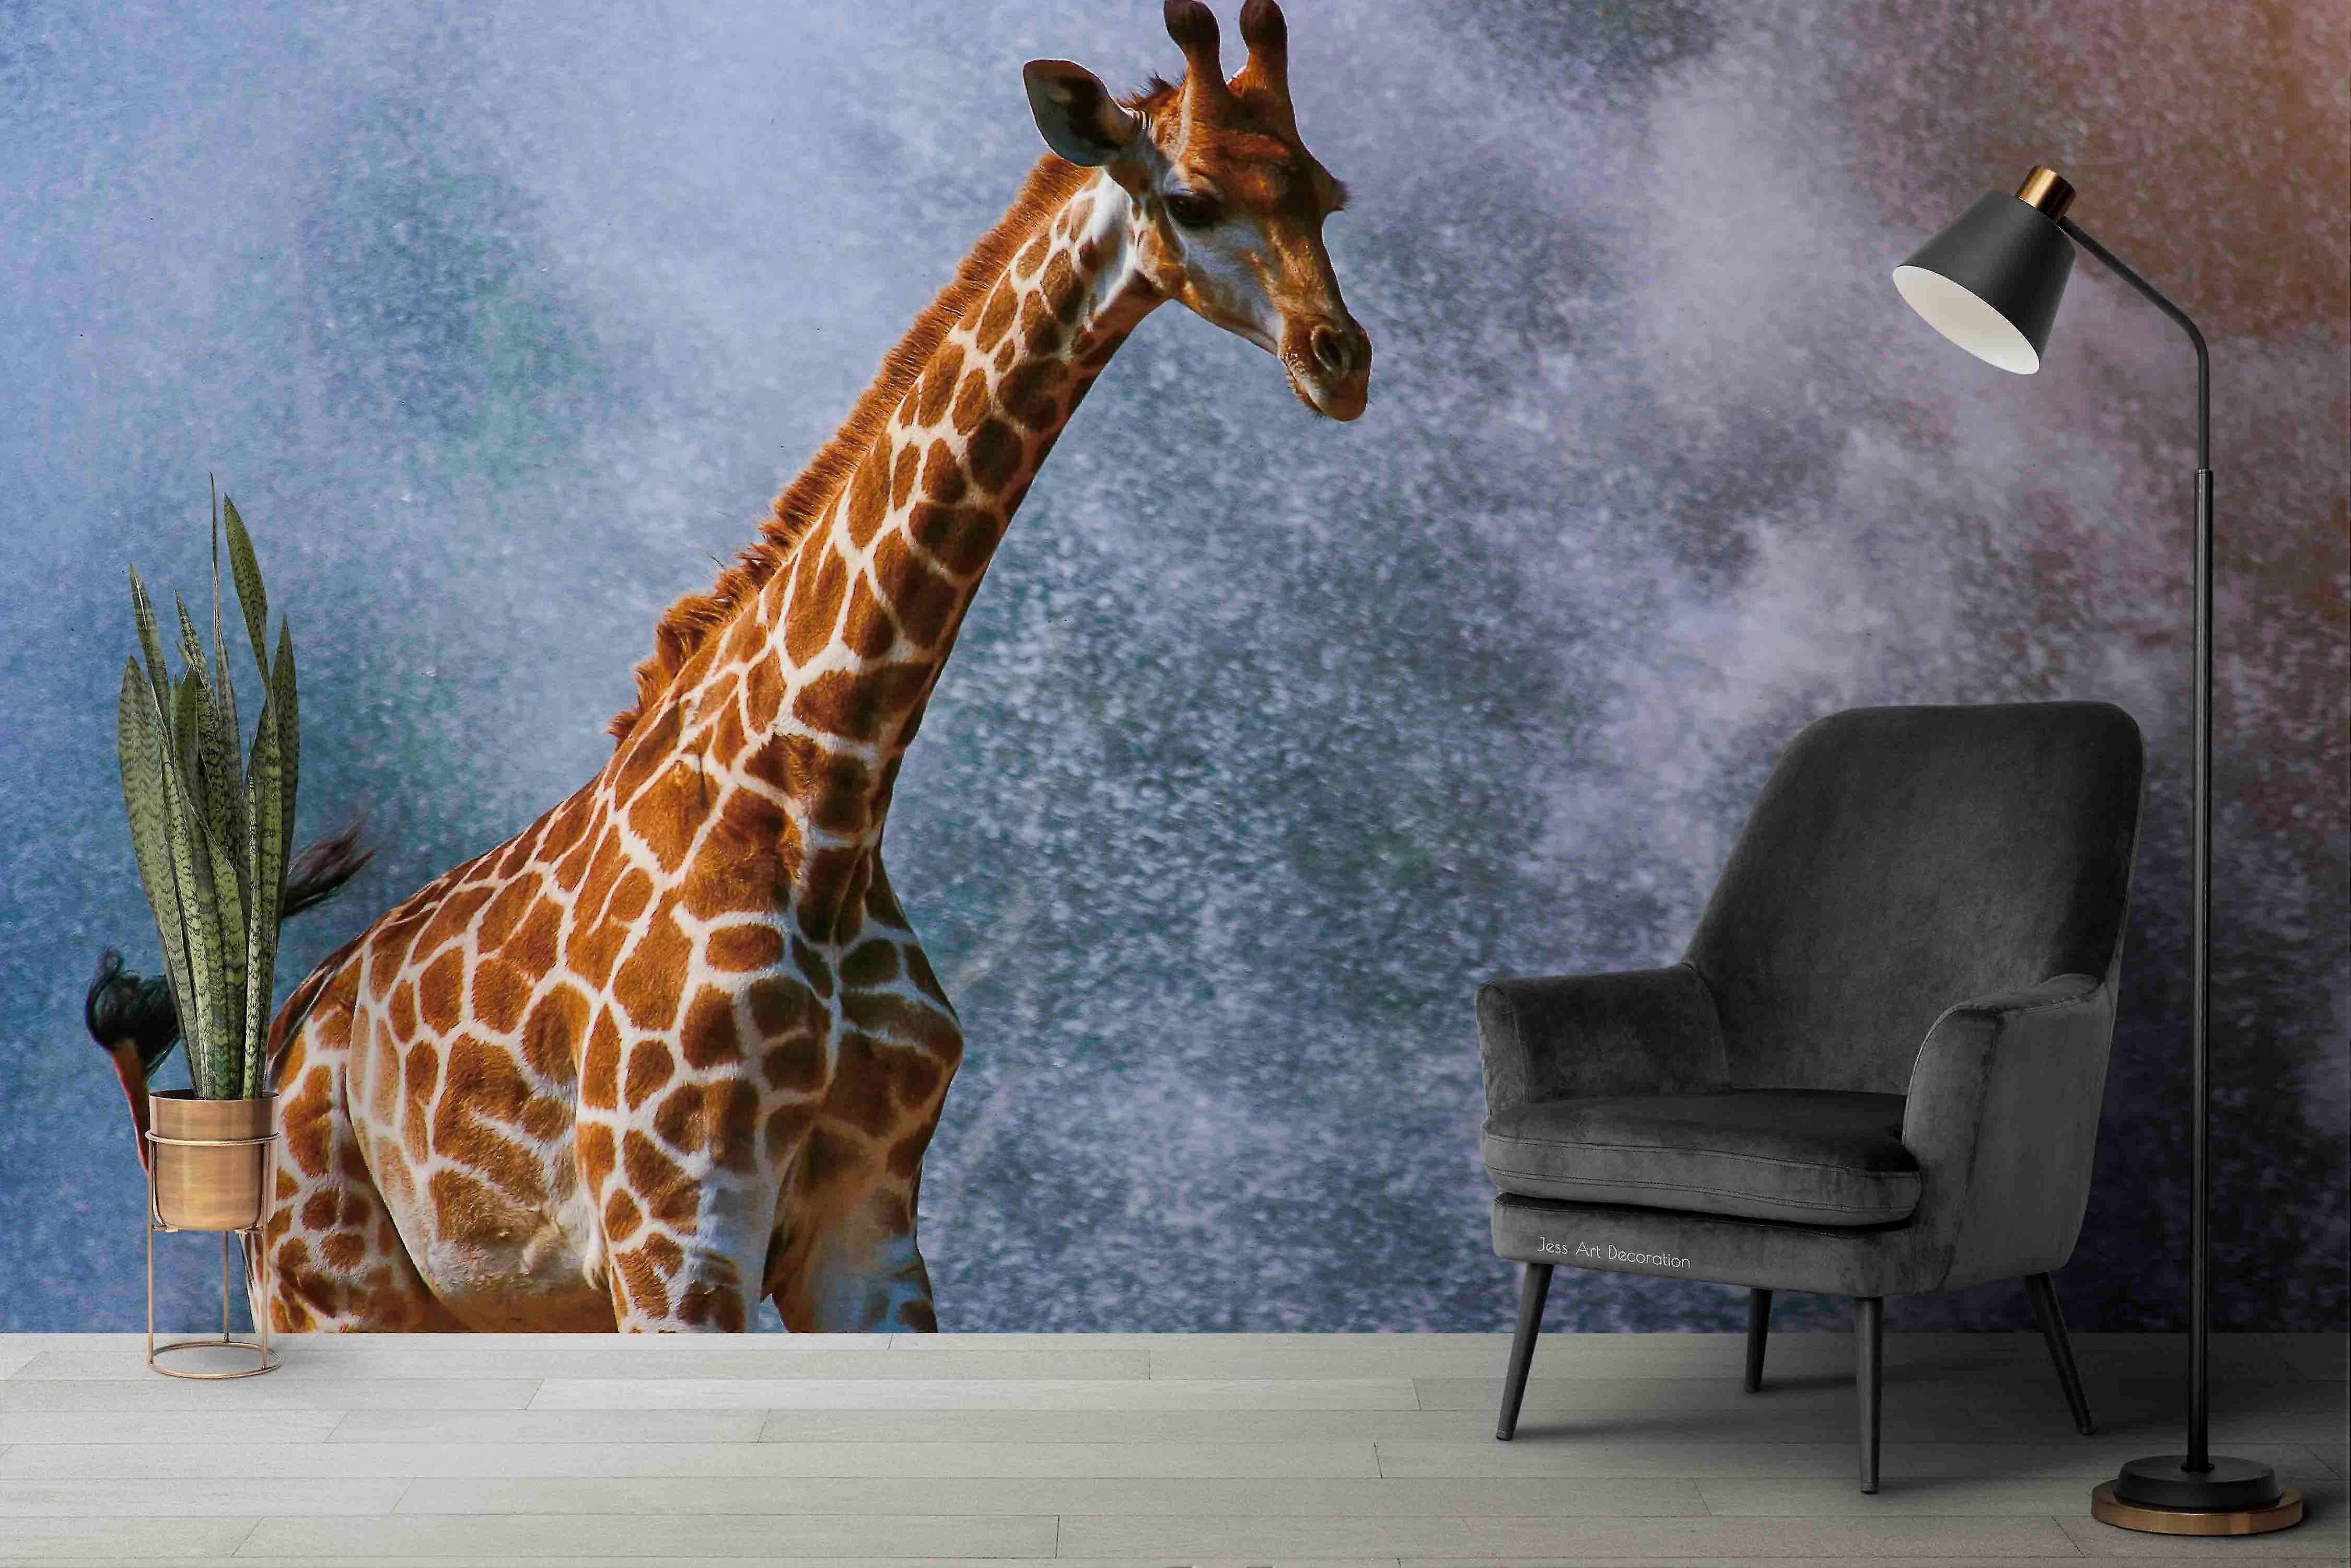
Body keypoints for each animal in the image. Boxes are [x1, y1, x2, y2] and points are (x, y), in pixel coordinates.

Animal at [255, 0, 1369, 1333]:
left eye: (1325, 192)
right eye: (1193, 199)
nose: (1339, 358)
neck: (819, 804)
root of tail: (290, 1031)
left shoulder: (866, 1226)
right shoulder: (671, 1232)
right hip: (333, 1285)